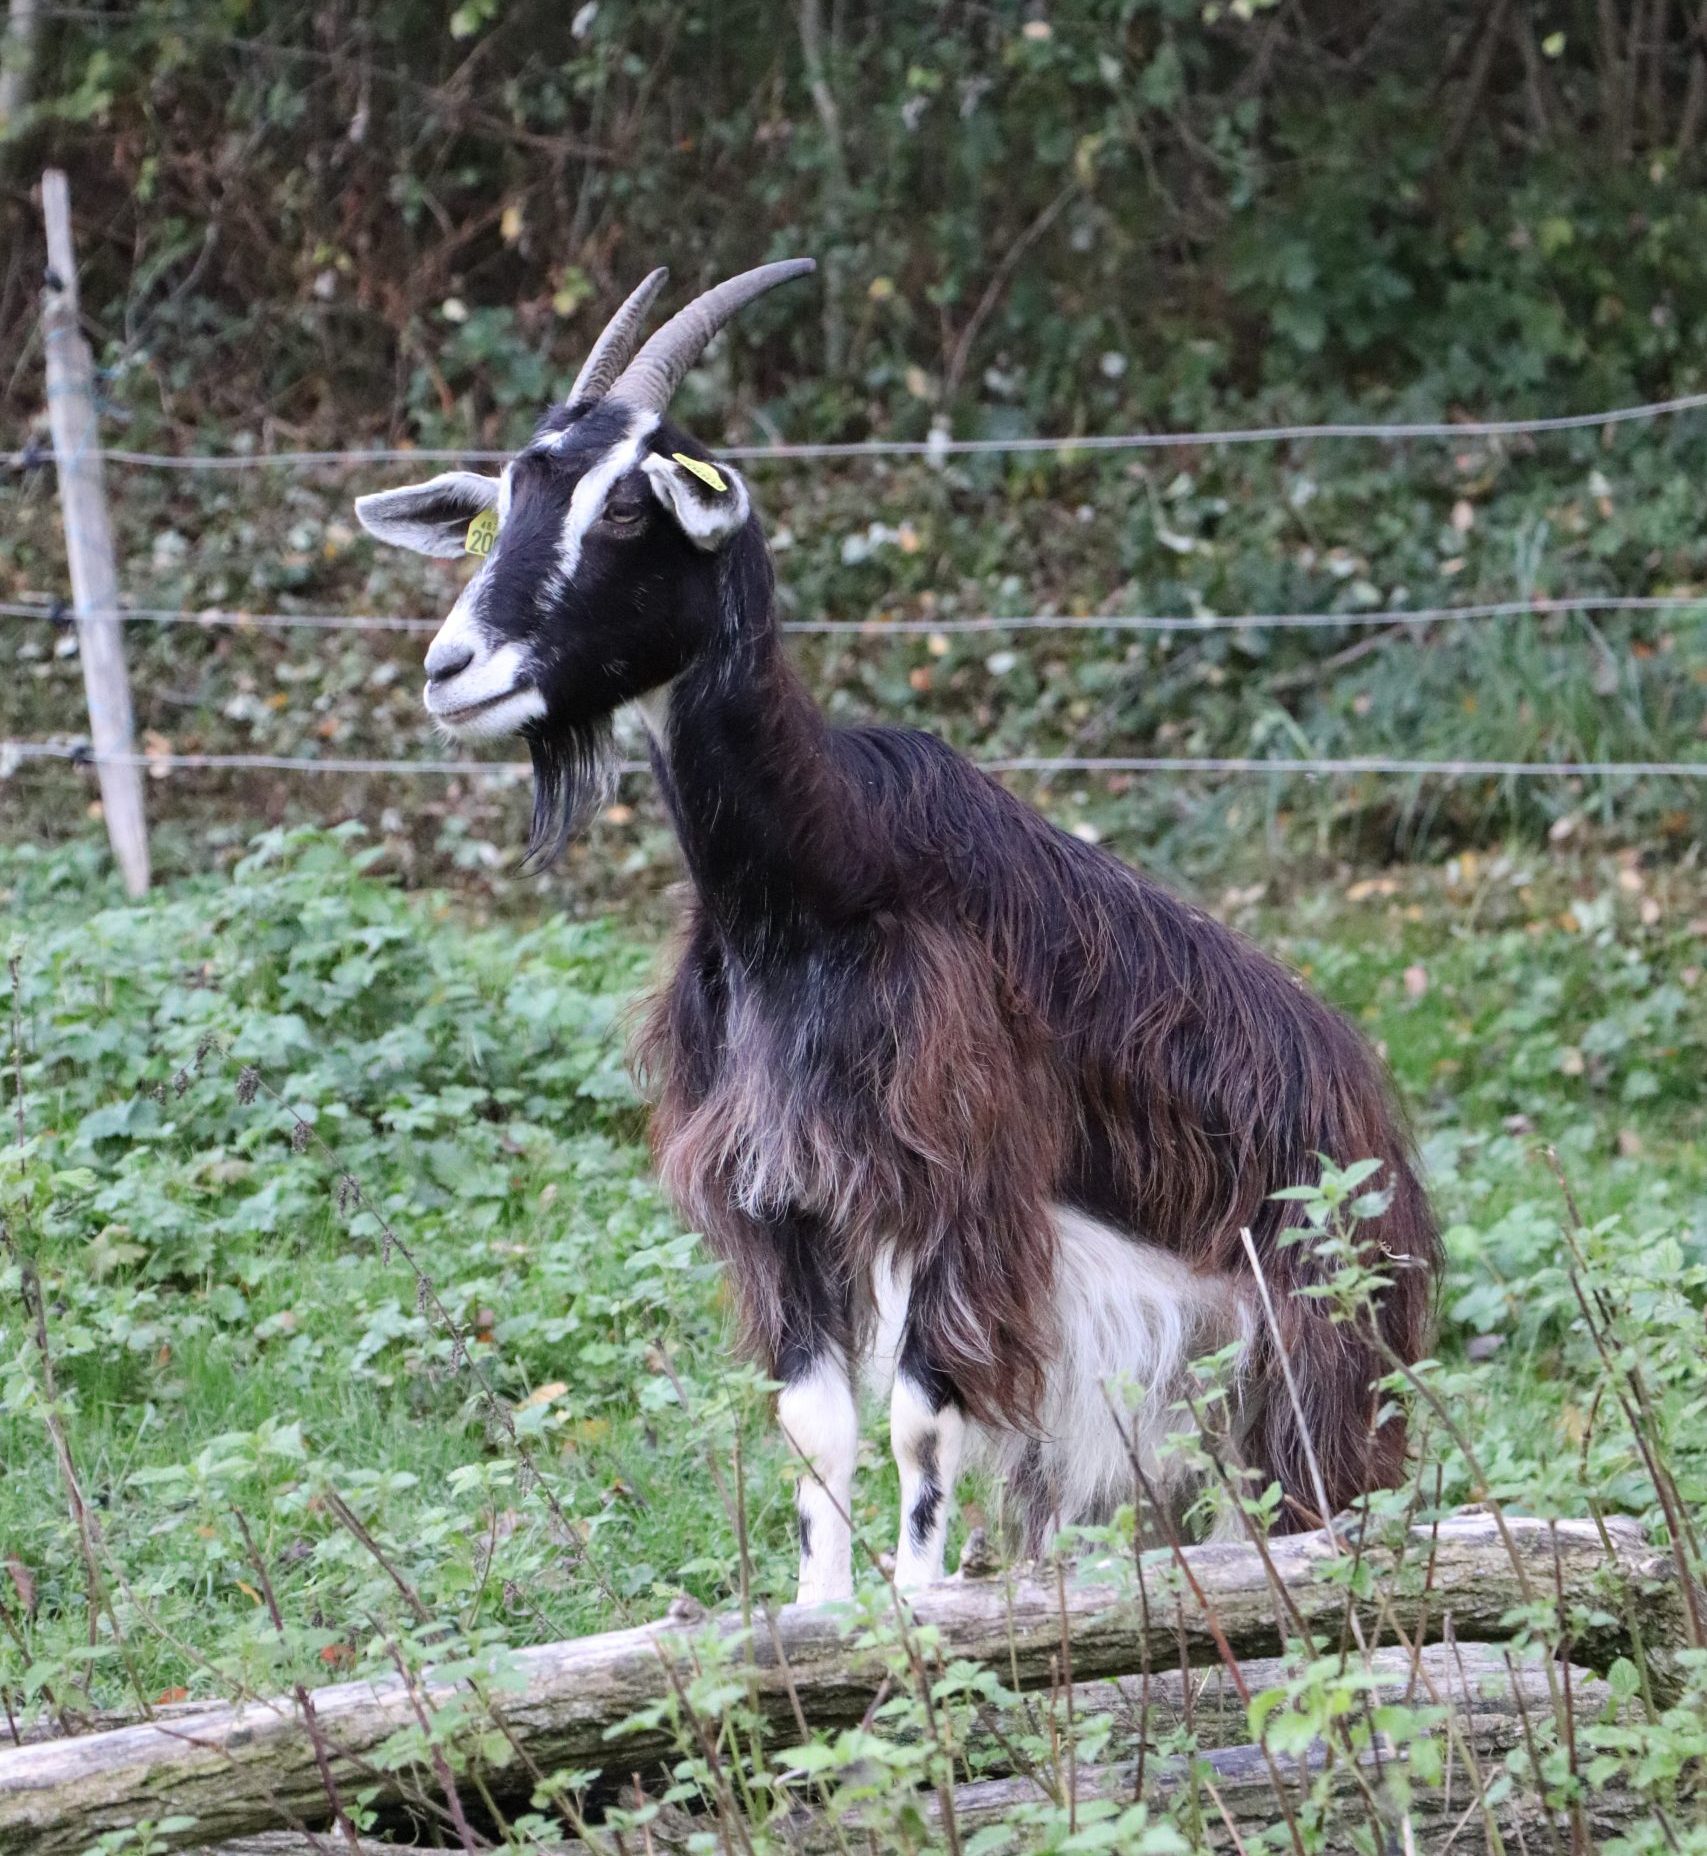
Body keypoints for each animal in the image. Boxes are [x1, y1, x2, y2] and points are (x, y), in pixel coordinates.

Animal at [355, 261, 1442, 1603]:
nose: (453, 667)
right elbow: (814, 1420)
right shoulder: (781, 1186)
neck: (821, 872)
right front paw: (818, 1615)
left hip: (1306, 1349)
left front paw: (925, 1610)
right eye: (500, 502)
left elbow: (923, 1415)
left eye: (626, 507)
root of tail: (1381, 1131)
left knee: (1312, 1494)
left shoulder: (959, 1175)